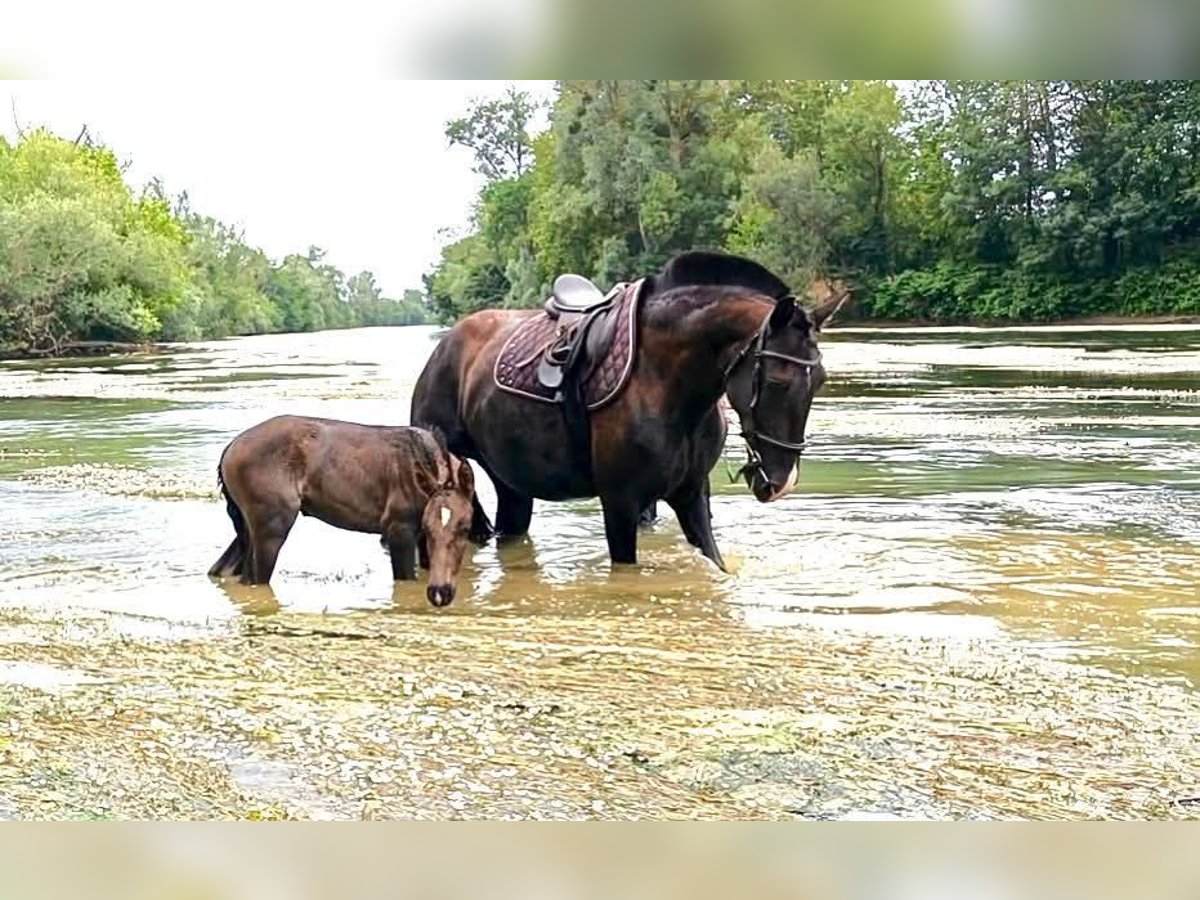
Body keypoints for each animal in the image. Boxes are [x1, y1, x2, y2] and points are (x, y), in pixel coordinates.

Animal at [208, 415, 475, 606]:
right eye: (429, 528)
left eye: (465, 528)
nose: (440, 593)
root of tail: (228, 451)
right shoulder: (400, 532)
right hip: (271, 528)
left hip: (247, 528)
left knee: (222, 570)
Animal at [410, 251, 846, 571]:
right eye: (778, 381)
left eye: (820, 380)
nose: (782, 482)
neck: (668, 382)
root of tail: (445, 346)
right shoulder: (620, 503)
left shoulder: (692, 495)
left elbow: (716, 562)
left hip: (512, 482)